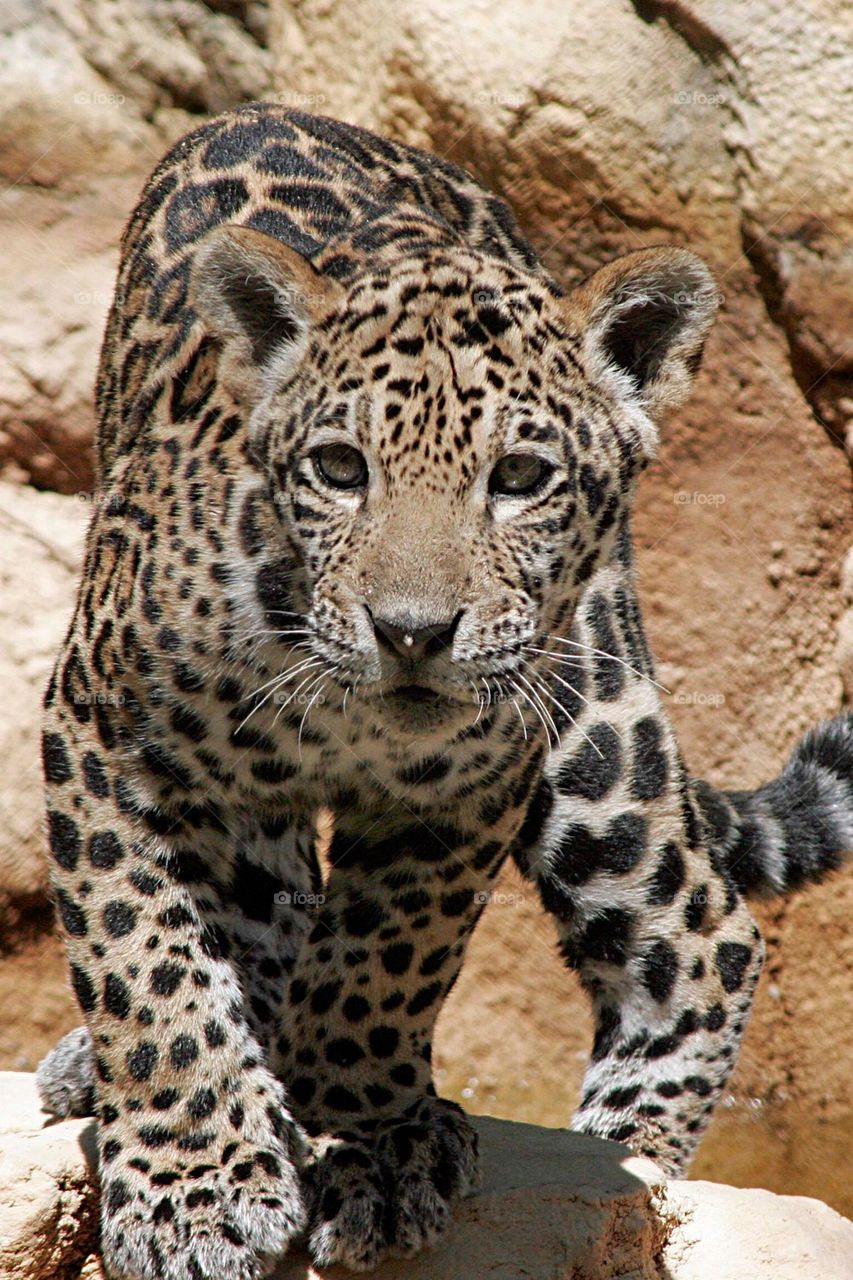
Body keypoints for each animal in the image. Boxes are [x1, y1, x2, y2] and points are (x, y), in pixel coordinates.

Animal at [36, 102, 853, 1279]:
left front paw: (367, 1139)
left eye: (519, 479)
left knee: (702, 930)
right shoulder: (106, 729)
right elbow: (146, 963)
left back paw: (627, 1169)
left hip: (590, 720)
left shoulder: (471, 784)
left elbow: (381, 963)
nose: (411, 633)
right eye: (339, 469)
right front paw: (197, 1182)